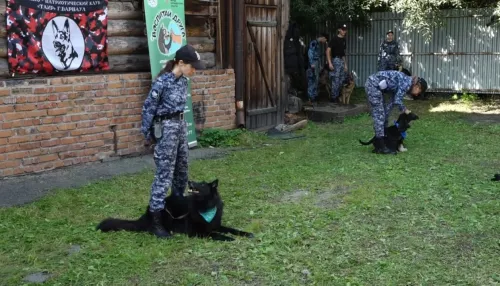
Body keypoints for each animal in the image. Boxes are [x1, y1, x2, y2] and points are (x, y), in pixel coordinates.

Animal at [96, 180, 256, 240]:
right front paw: (229, 238)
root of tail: (146, 215)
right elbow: (215, 234)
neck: (205, 206)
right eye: (197, 182)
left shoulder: (215, 224)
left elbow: (232, 229)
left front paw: (246, 234)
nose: (190, 181)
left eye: (202, 184)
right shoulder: (197, 232)